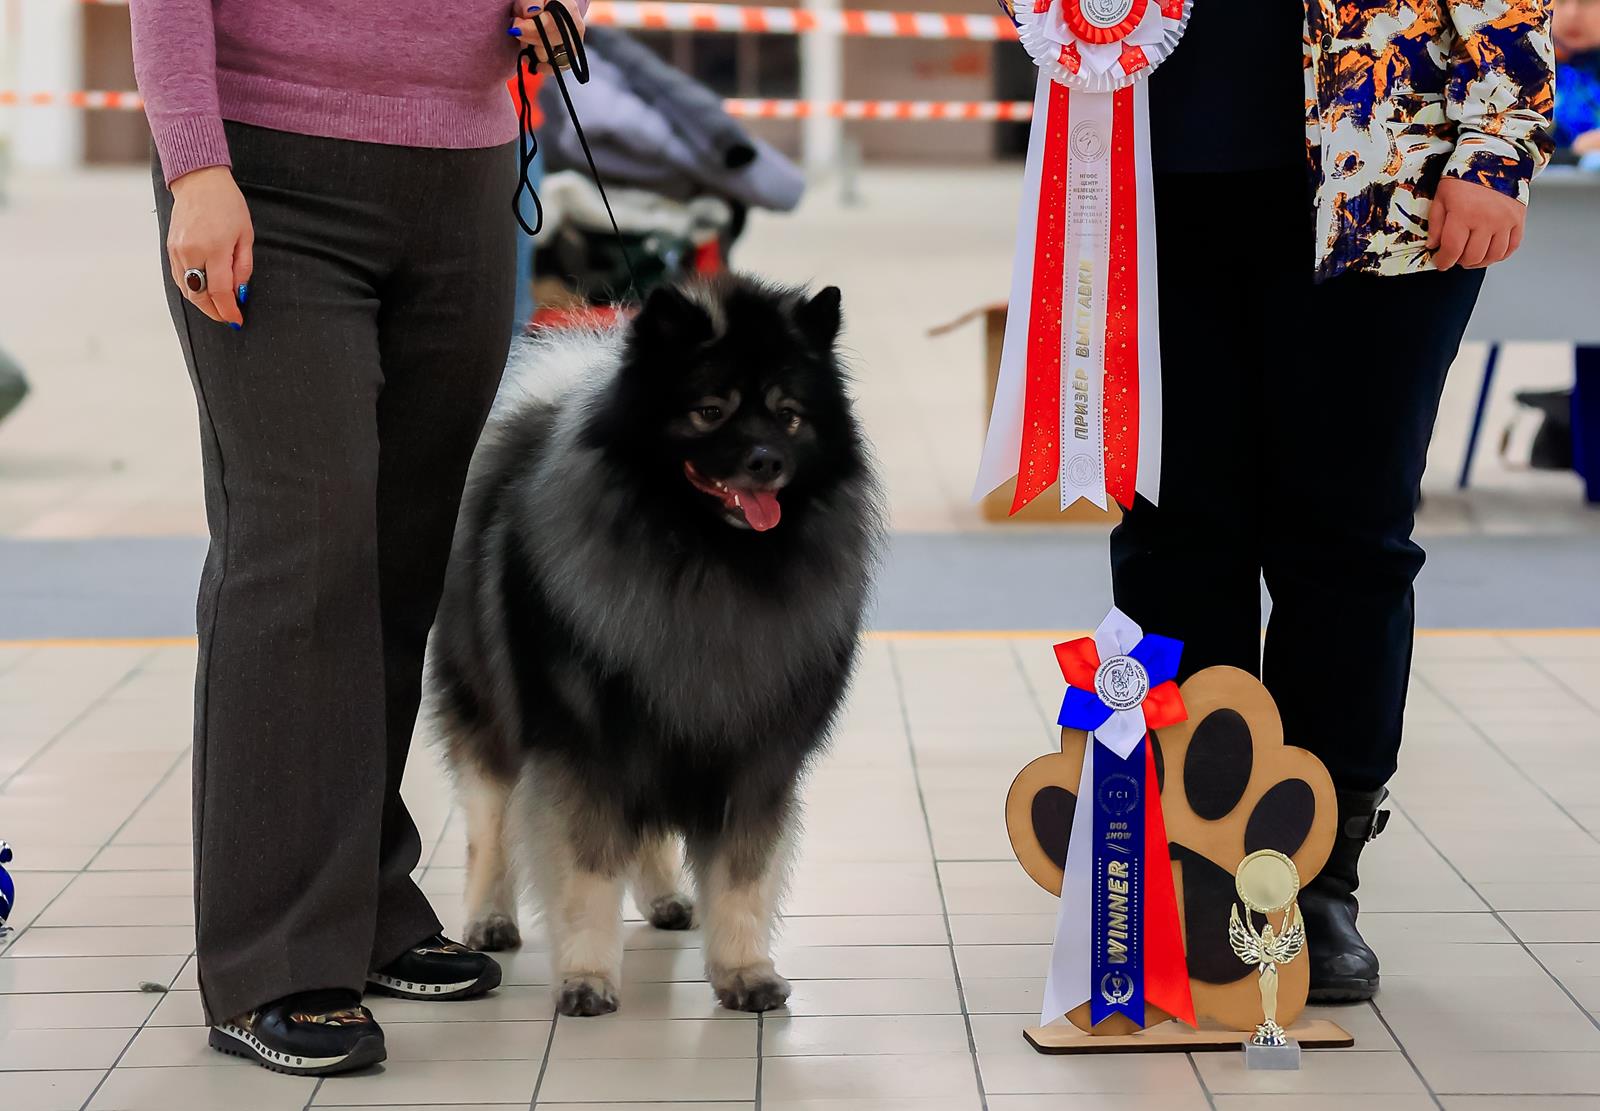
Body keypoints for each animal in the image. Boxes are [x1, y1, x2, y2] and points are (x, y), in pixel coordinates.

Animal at [432, 272, 883, 1018]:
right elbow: (586, 875)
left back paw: (667, 897)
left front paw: (744, 971)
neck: (708, 561)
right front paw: (586, 977)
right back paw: (489, 918)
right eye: (710, 411)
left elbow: (740, 878)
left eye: (789, 416)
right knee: (489, 825)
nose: (768, 461)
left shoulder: (749, 755)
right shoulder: (585, 751)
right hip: (490, 714)